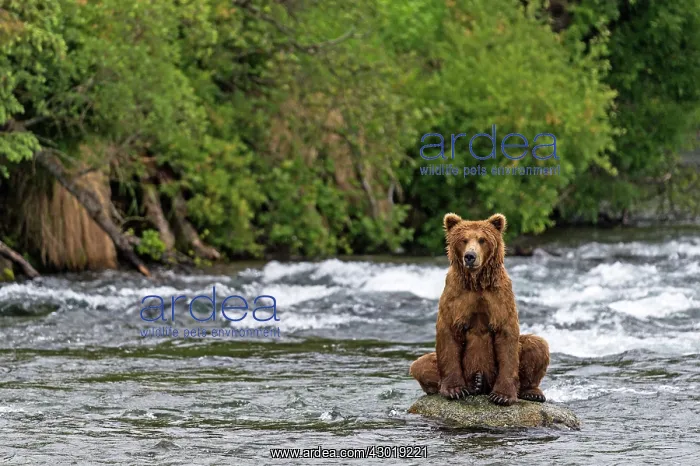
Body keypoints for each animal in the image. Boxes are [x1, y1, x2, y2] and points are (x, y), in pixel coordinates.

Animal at [409, 212, 549, 406]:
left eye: (482, 240)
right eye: (463, 239)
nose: (470, 256)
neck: (476, 282)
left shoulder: (499, 297)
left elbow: (507, 338)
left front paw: (502, 396)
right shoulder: (455, 296)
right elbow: (448, 335)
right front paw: (455, 390)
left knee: (537, 345)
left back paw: (530, 392)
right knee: (420, 365)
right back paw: (475, 384)